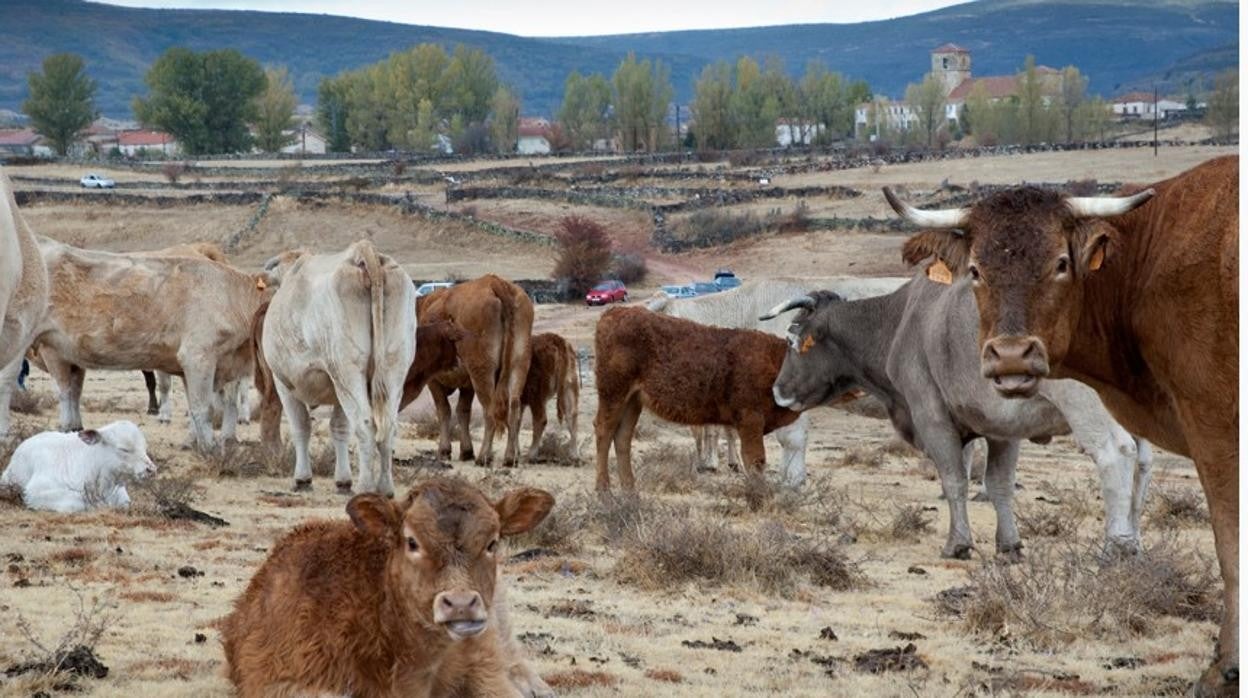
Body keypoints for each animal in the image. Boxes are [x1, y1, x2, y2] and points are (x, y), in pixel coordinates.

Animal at [594, 305, 798, 491]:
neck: (776, 359)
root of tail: (613, 312)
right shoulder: (751, 421)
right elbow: (756, 460)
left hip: (633, 401)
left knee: (622, 436)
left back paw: (630, 492)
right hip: (613, 393)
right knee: (604, 430)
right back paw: (604, 491)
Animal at [763, 273, 1153, 556]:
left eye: (792, 341)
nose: (777, 391)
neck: (899, 321)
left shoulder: (932, 418)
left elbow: (954, 480)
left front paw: (958, 543)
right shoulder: (1002, 429)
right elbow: (999, 485)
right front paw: (1008, 544)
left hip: (1089, 410)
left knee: (1116, 455)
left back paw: (1116, 546)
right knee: (1142, 464)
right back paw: (1134, 540)